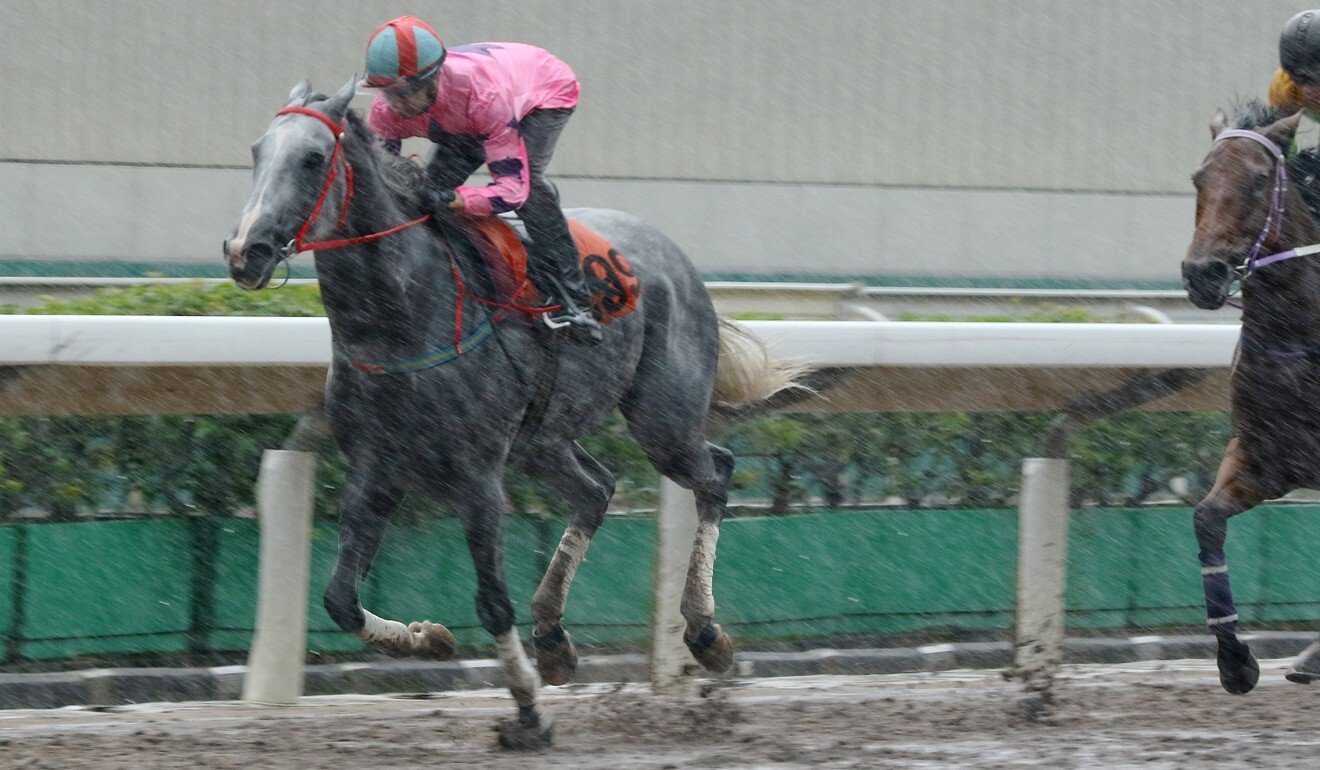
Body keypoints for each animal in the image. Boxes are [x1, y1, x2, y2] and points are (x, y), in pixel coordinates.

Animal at [224, 82, 802, 744]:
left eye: (313, 158)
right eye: (257, 150)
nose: (245, 251)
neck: (398, 321)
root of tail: (679, 258)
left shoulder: (476, 475)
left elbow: (491, 600)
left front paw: (528, 712)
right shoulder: (375, 469)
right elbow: (339, 599)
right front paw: (430, 638)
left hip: (664, 420)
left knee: (716, 473)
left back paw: (705, 632)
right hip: (542, 440)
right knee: (597, 489)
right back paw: (552, 638)